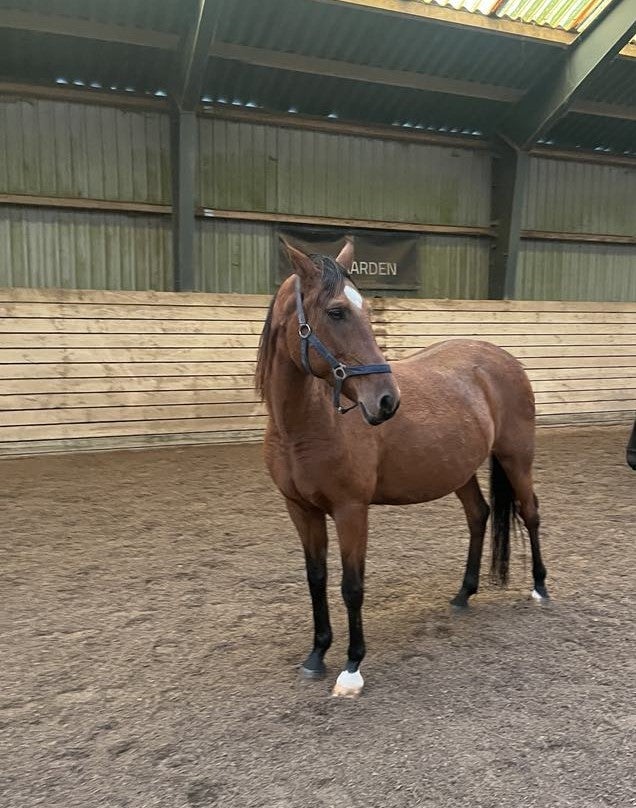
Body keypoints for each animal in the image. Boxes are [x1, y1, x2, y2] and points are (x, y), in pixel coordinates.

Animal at [256, 238, 548, 696]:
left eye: (364, 311)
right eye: (336, 311)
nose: (386, 400)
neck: (305, 426)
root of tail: (501, 357)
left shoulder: (351, 510)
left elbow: (351, 586)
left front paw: (352, 667)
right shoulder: (300, 510)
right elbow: (316, 579)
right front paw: (317, 654)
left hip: (516, 458)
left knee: (530, 513)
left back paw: (539, 587)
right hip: (460, 471)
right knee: (479, 515)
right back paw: (464, 594)